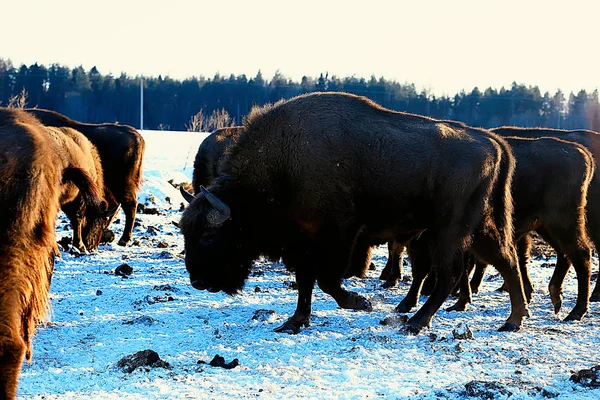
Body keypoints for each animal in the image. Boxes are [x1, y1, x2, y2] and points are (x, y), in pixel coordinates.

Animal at [179, 91, 528, 334]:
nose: (197, 281)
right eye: (185, 232)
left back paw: (416, 322)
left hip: (449, 230)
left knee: (450, 273)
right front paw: (294, 322)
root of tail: (493, 142)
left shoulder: (339, 233)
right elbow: (306, 280)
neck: (283, 164)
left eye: (208, 236)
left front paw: (361, 303)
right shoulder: (305, 241)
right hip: (481, 227)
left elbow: (326, 280)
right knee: (506, 261)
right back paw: (513, 320)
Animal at [404, 135, 596, 322]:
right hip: (549, 227)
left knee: (581, 253)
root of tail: (583, 153)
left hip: (563, 223)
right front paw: (461, 302)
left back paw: (576, 311)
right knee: (565, 254)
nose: (426, 290)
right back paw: (557, 299)